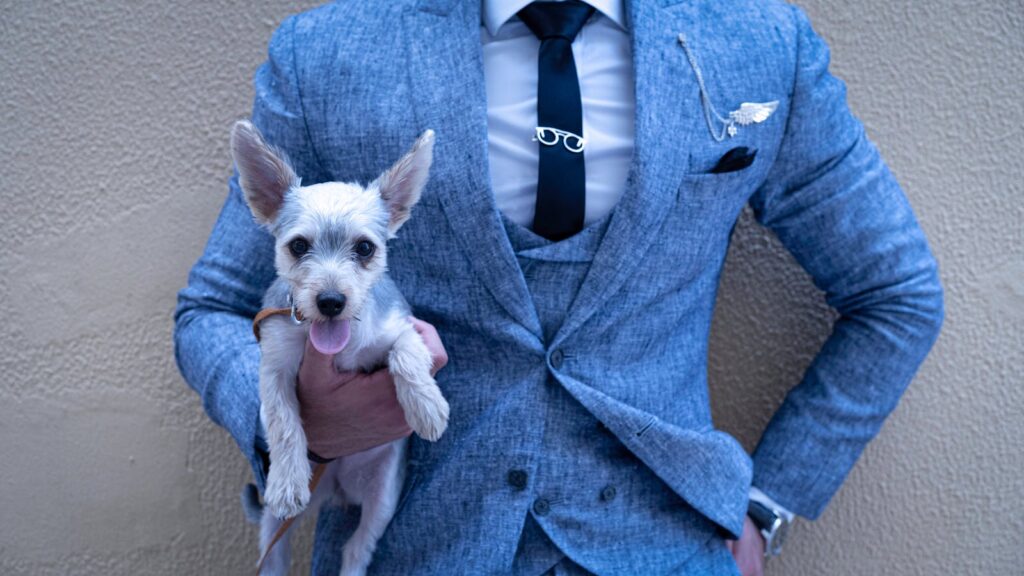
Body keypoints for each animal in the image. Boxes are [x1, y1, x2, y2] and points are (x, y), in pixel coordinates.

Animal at [235, 120, 452, 573]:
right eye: (299, 246)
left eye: (365, 248)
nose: (331, 301)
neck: (336, 338)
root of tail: (335, 487)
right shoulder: (275, 368)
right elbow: (282, 422)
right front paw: (287, 479)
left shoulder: (405, 329)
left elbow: (406, 356)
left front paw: (426, 407)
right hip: (274, 526)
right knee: (274, 556)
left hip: (383, 499)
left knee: (355, 549)